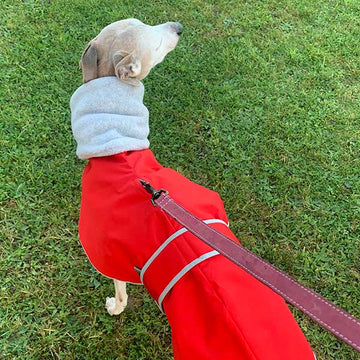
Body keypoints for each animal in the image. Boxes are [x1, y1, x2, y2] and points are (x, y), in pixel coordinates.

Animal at [69, 19, 316, 360]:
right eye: (154, 37)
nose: (179, 27)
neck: (121, 152)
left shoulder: (108, 252)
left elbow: (119, 292)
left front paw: (114, 307)